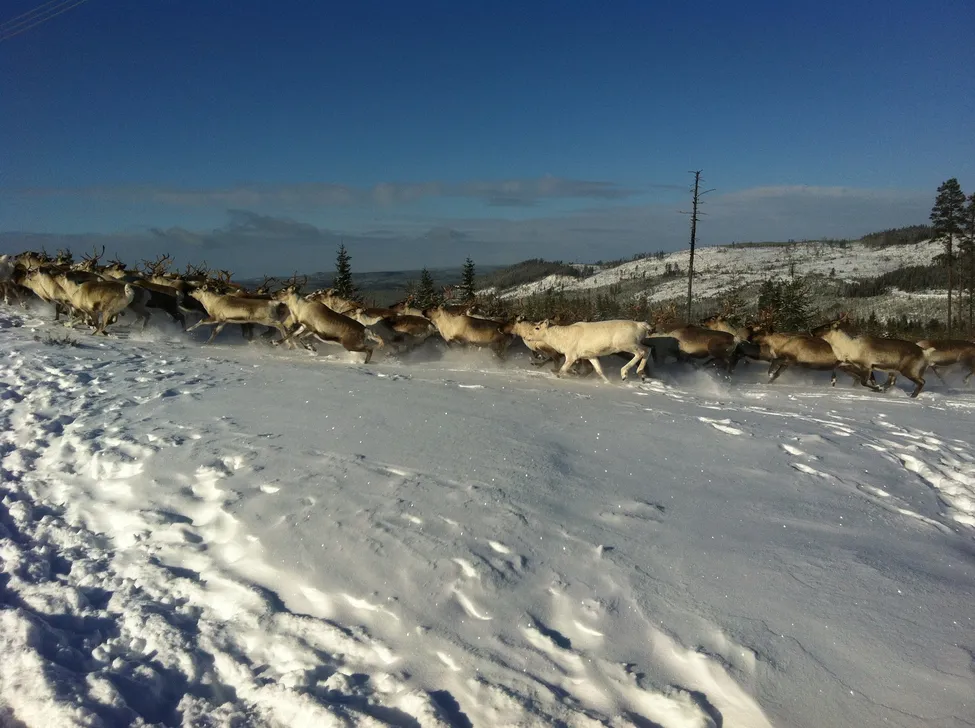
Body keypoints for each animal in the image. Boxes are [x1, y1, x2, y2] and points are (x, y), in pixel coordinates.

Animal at [521, 319, 651, 383]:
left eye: (537, 327)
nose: (526, 336)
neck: (561, 338)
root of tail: (642, 325)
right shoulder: (590, 356)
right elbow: (599, 371)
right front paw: (609, 383)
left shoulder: (571, 356)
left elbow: (562, 370)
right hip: (636, 343)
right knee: (648, 349)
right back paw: (642, 375)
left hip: (626, 345)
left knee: (640, 353)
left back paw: (624, 374)